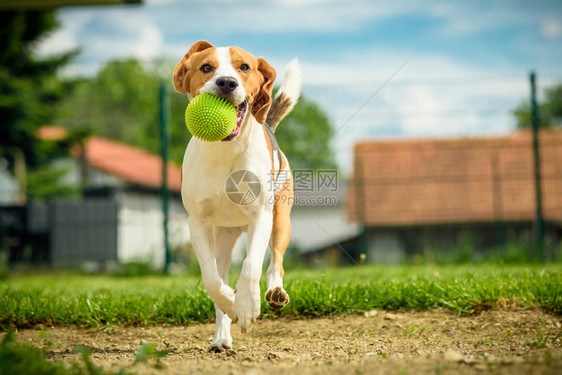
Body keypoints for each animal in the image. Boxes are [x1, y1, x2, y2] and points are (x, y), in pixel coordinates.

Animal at [173, 42, 300, 354]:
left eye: (244, 67)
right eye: (206, 67)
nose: (227, 82)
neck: (224, 150)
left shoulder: (260, 217)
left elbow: (251, 265)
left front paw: (246, 306)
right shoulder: (197, 224)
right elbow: (211, 280)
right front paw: (232, 305)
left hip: (281, 222)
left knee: (275, 262)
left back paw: (275, 291)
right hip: (223, 237)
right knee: (220, 274)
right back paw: (221, 337)